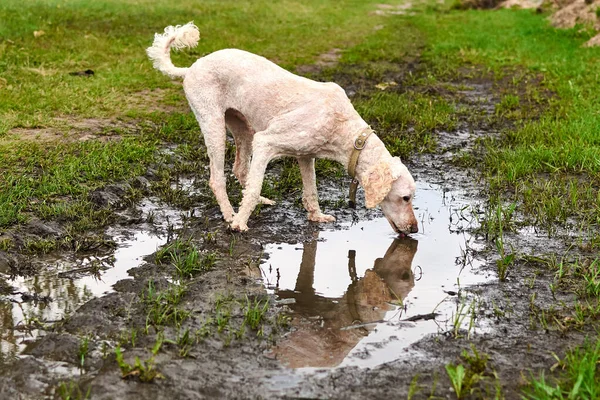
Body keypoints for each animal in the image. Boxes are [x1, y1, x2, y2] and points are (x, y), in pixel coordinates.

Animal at [146, 22, 418, 234]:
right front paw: (239, 224)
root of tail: (190, 68)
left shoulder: (305, 155)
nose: (415, 229)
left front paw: (316, 216)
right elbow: (256, 186)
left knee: (241, 169)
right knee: (218, 178)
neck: (347, 132)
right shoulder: (266, 142)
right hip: (213, 124)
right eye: (406, 197)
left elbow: (311, 190)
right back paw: (230, 214)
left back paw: (257, 202)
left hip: (243, 127)